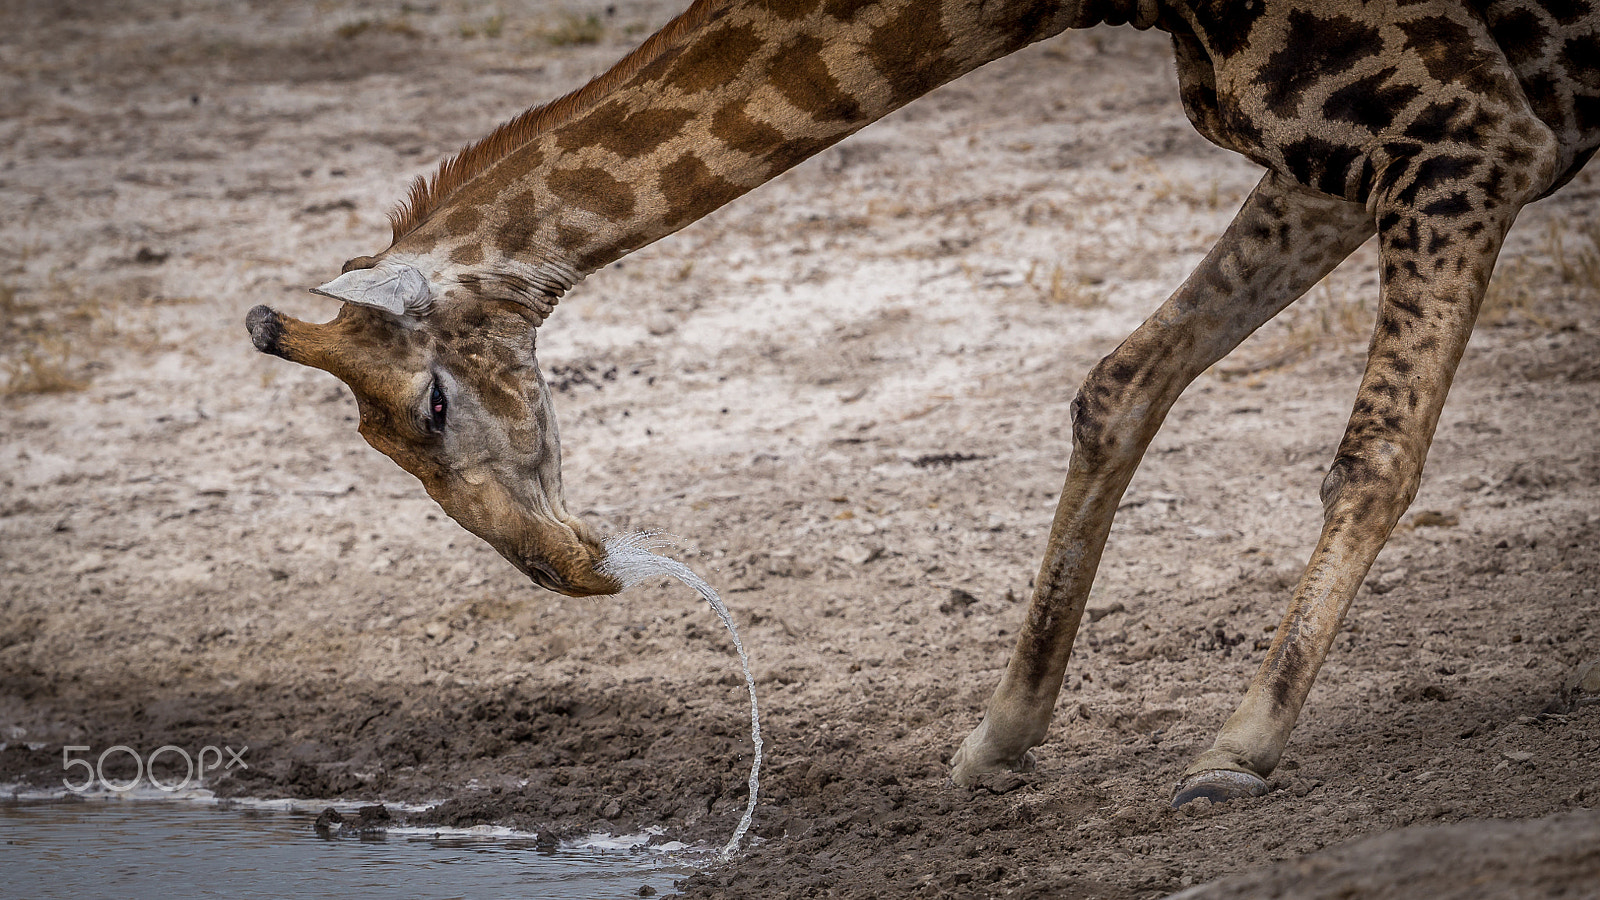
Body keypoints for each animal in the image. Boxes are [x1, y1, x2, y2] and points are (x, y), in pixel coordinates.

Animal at [246, 0, 1600, 800]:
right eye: (378, 444)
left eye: (428, 408)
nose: (569, 570)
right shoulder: (1345, 156)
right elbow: (1117, 386)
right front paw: (999, 736)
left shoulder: (1467, 136)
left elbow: (1371, 452)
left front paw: (1238, 747)